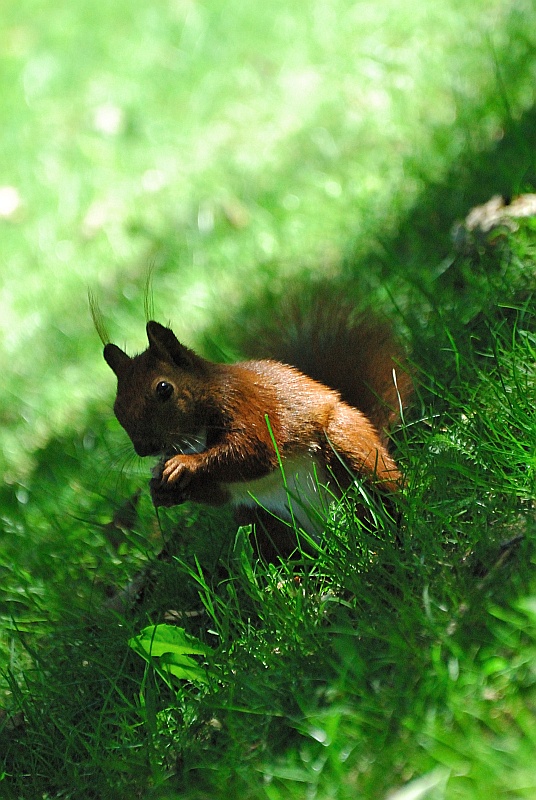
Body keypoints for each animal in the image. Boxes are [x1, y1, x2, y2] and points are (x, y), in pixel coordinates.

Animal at [100, 292, 411, 558]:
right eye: (116, 407)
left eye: (164, 389)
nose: (144, 448)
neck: (196, 436)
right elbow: (218, 491)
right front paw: (160, 489)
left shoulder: (248, 404)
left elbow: (254, 450)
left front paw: (184, 464)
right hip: (262, 521)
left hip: (346, 445)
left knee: (381, 495)